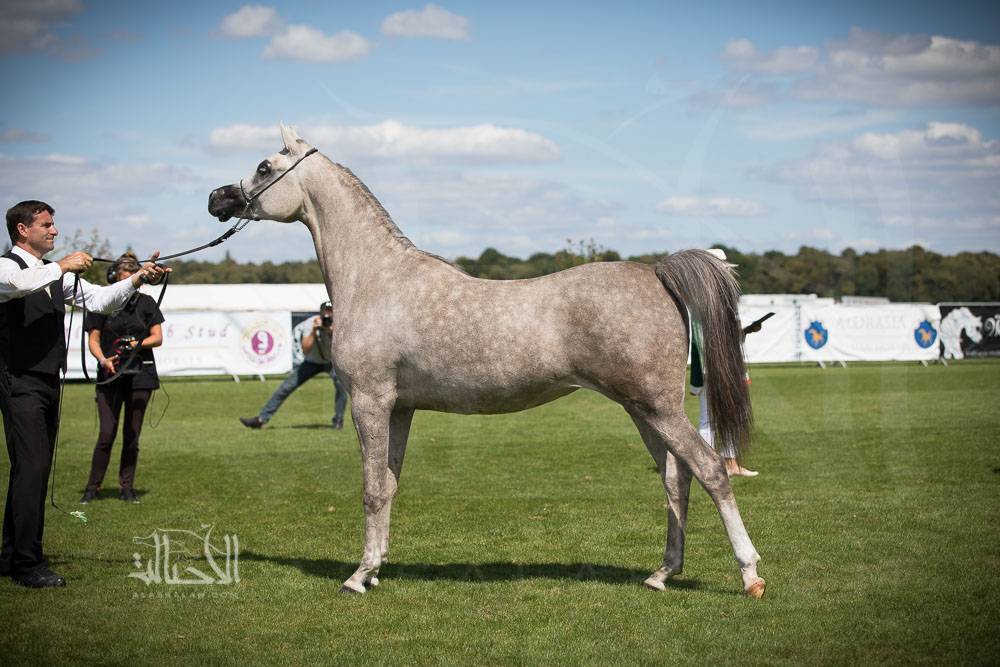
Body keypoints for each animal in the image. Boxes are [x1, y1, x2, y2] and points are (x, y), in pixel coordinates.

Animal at [208, 123, 765, 598]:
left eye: (263, 166)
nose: (217, 198)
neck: (376, 279)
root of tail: (656, 273)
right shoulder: (400, 408)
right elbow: (389, 484)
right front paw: (377, 567)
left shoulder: (369, 400)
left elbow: (371, 488)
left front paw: (358, 576)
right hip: (643, 410)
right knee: (676, 479)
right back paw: (661, 574)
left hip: (657, 407)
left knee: (711, 470)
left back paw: (750, 574)